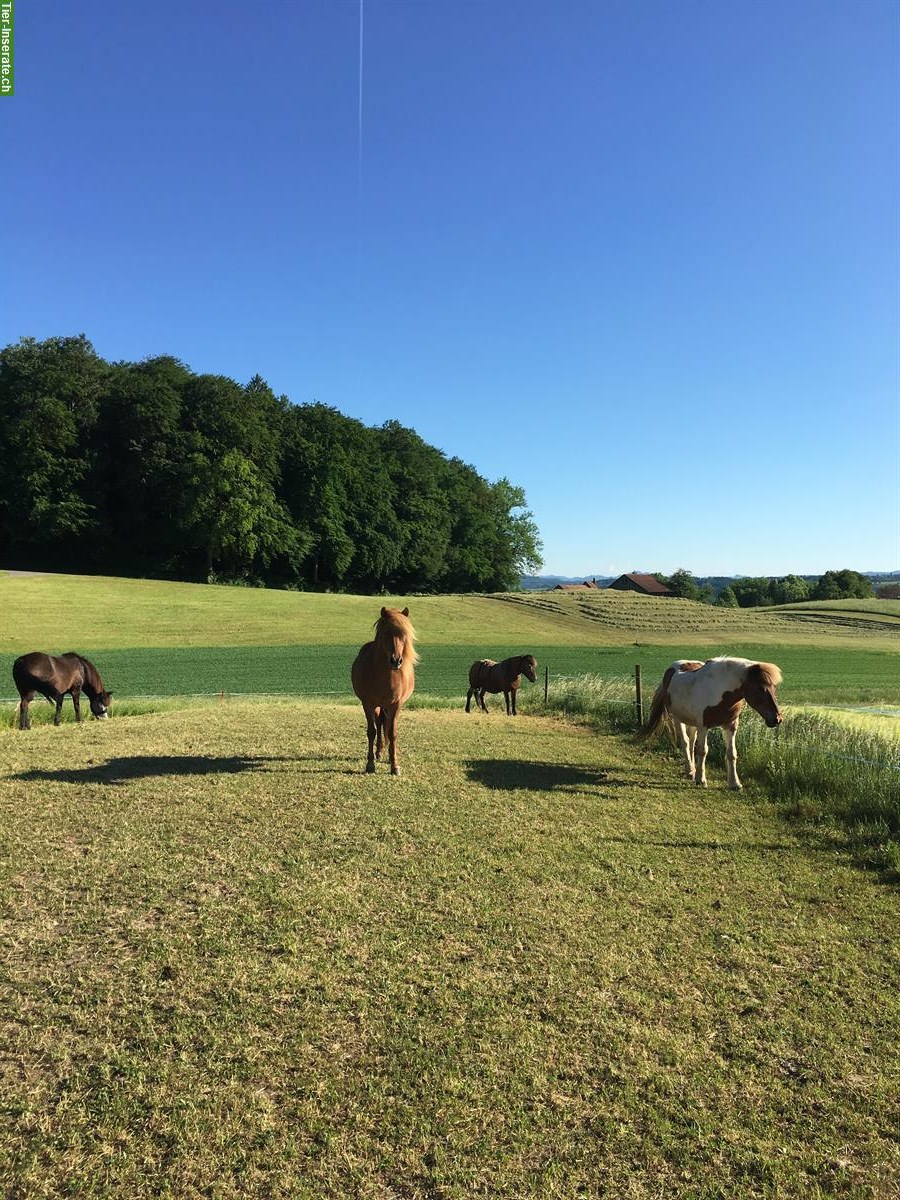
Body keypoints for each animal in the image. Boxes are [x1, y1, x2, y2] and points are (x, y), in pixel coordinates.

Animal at [355, 609, 422, 777]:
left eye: (404, 634)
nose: (396, 661)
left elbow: (392, 733)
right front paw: (370, 764)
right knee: (379, 724)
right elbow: (371, 731)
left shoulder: (396, 705)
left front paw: (394, 765)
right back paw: (378, 752)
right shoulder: (368, 704)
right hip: (377, 706)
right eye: (385, 633)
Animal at [643, 657, 782, 787]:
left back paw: (693, 770)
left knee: (691, 741)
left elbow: (731, 753)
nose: (777, 719)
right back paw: (690, 771)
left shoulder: (731, 726)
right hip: (678, 719)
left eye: (774, 687)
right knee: (686, 742)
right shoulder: (703, 726)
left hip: (693, 723)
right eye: (760, 688)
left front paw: (734, 783)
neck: (720, 692)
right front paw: (701, 780)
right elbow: (703, 750)